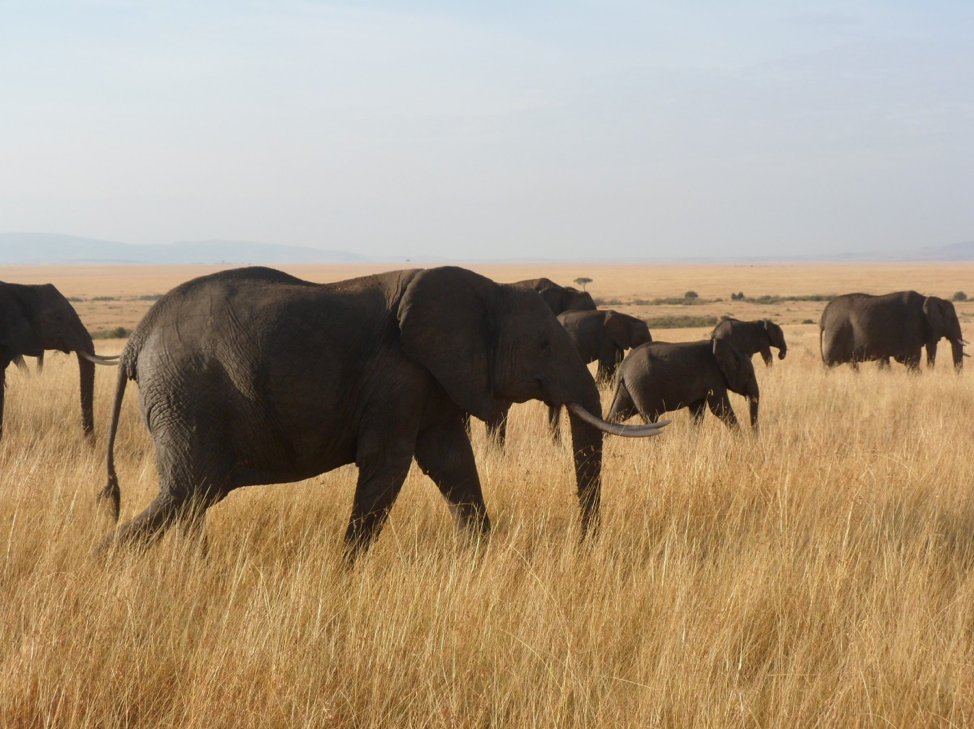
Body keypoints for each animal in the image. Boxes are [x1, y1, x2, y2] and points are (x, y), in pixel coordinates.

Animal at [95, 266, 667, 557]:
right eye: (545, 344)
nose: (585, 543)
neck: (487, 288)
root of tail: (135, 341)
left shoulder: (431, 377)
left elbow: (452, 464)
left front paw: (481, 556)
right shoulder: (399, 373)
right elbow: (389, 464)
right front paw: (345, 570)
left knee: (193, 497)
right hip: (187, 392)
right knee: (188, 491)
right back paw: (103, 562)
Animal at [607, 339, 760, 429]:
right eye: (749, 375)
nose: (754, 439)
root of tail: (623, 366)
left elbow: (697, 413)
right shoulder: (713, 377)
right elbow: (720, 409)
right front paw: (742, 443)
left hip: (627, 389)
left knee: (617, 416)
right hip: (641, 386)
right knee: (650, 420)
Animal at [820, 291, 966, 370]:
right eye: (952, 319)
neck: (927, 299)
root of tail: (824, 316)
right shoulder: (911, 326)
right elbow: (912, 359)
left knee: (851, 364)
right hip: (836, 332)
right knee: (829, 363)